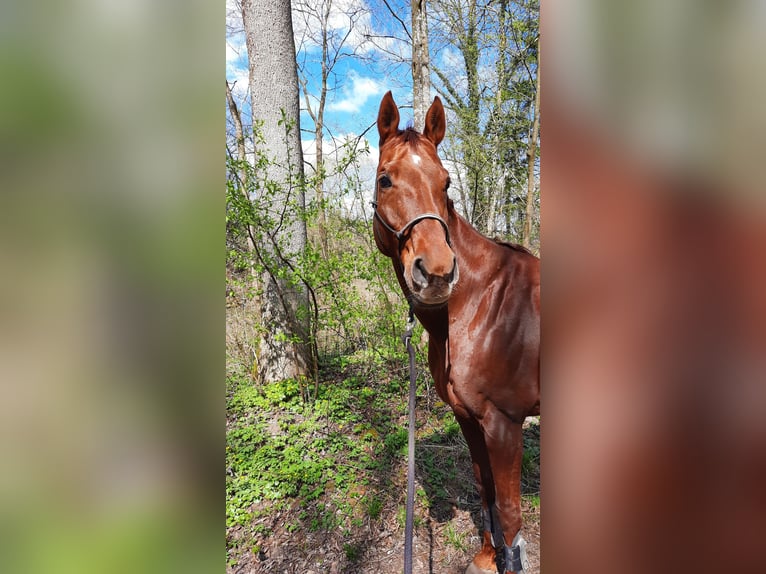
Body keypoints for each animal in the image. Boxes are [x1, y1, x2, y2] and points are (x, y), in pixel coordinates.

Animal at [371, 91, 540, 574]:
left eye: (446, 183)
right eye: (385, 180)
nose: (437, 273)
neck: (479, 305)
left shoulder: (505, 423)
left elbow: (510, 511)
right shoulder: (469, 417)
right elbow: (485, 492)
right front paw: (485, 558)